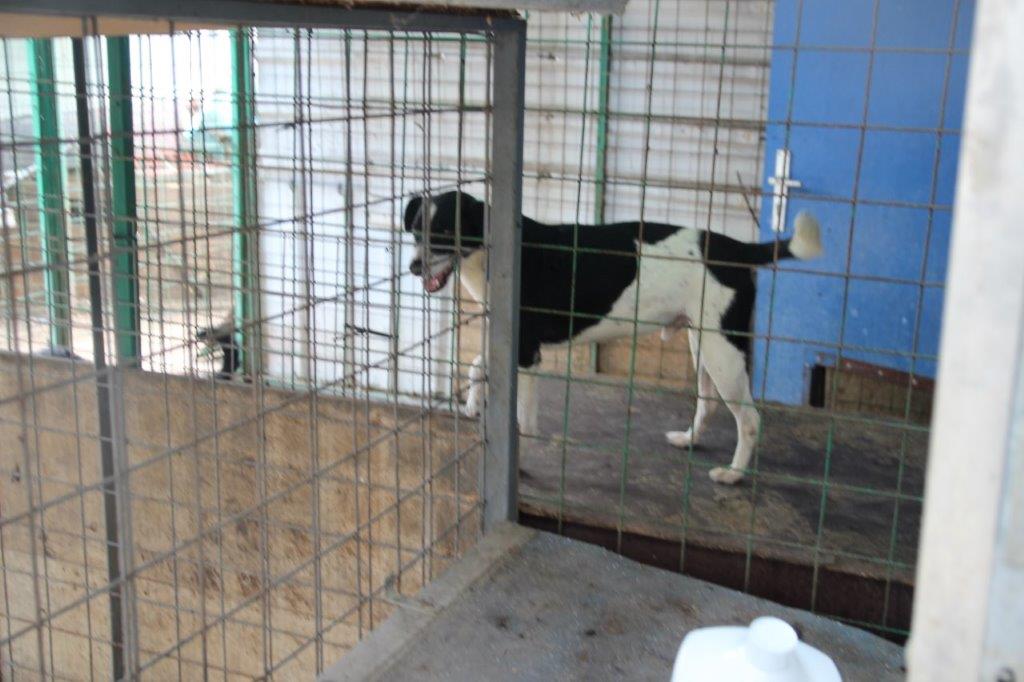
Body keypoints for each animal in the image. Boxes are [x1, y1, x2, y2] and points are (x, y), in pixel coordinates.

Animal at [405, 191, 823, 485]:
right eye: (416, 231)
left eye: (446, 231)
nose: (413, 266)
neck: (491, 253)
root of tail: (736, 248)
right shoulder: (512, 345)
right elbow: (476, 365)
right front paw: (473, 404)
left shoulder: (526, 353)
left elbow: (523, 421)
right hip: (704, 342)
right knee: (708, 403)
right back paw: (689, 439)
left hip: (724, 351)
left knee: (749, 418)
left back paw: (734, 474)